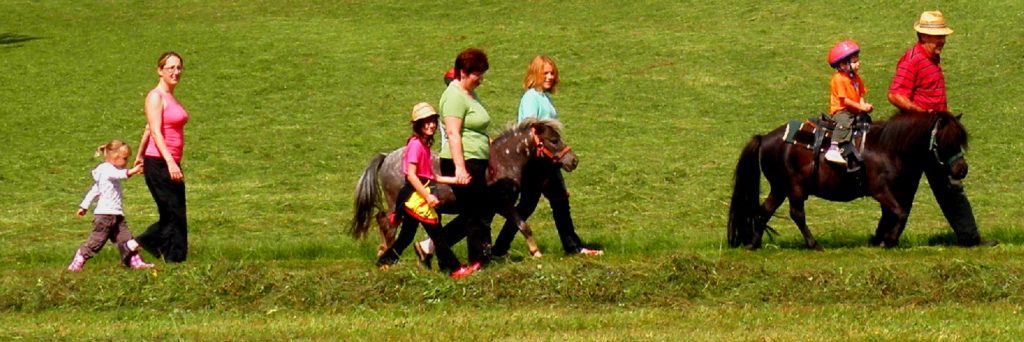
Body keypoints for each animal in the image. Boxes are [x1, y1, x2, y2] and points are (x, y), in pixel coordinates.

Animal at [352, 118, 577, 258]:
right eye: (554, 140)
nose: (573, 161)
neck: (502, 162)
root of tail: (386, 156)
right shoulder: (502, 204)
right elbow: (521, 224)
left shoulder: (489, 208)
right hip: (396, 204)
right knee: (387, 223)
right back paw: (386, 252)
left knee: (381, 219)